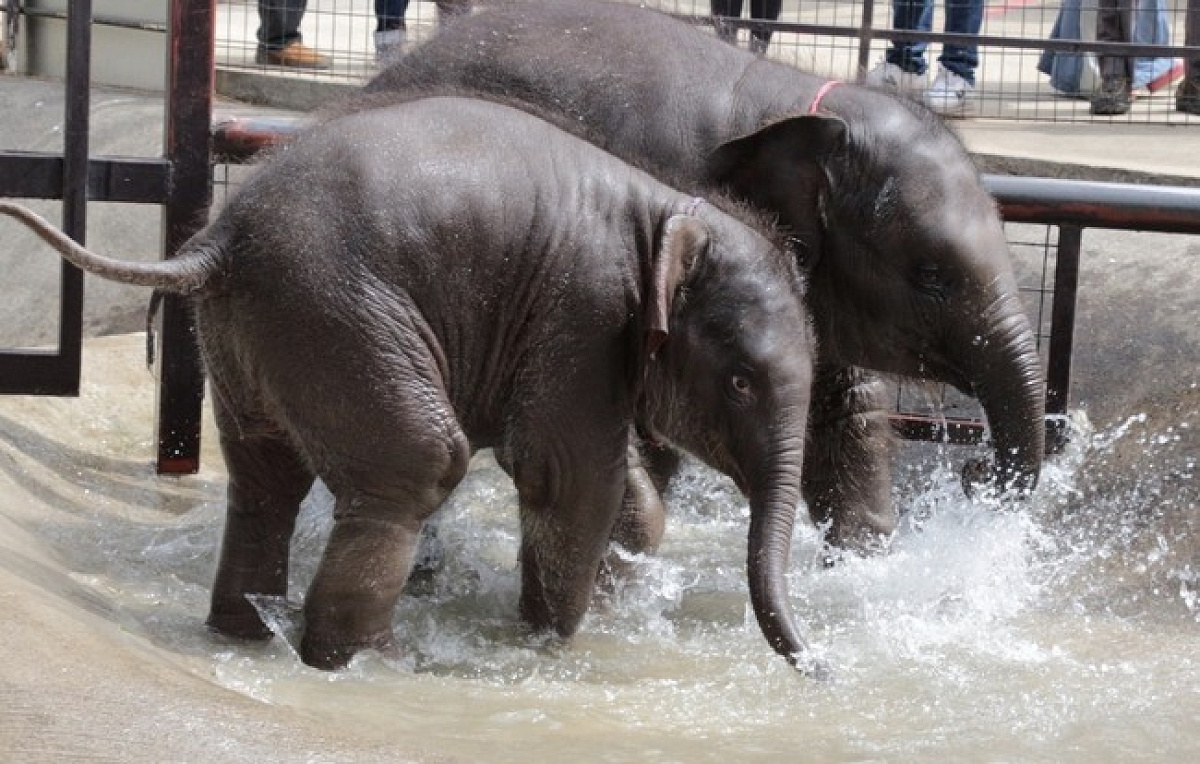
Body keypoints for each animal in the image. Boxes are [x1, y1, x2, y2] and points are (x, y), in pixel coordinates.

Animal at [0, 96, 825, 671]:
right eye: (742, 382)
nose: (821, 669)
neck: (668, 210)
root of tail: (214, 242)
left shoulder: (584, 342)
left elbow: (610, 484)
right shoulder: (586, 309)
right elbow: (568, 478)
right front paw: (546, 649)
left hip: (251, 336)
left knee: (266, 478)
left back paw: (246, 636)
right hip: (333, 313)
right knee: (419, 465)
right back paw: (376, 664)